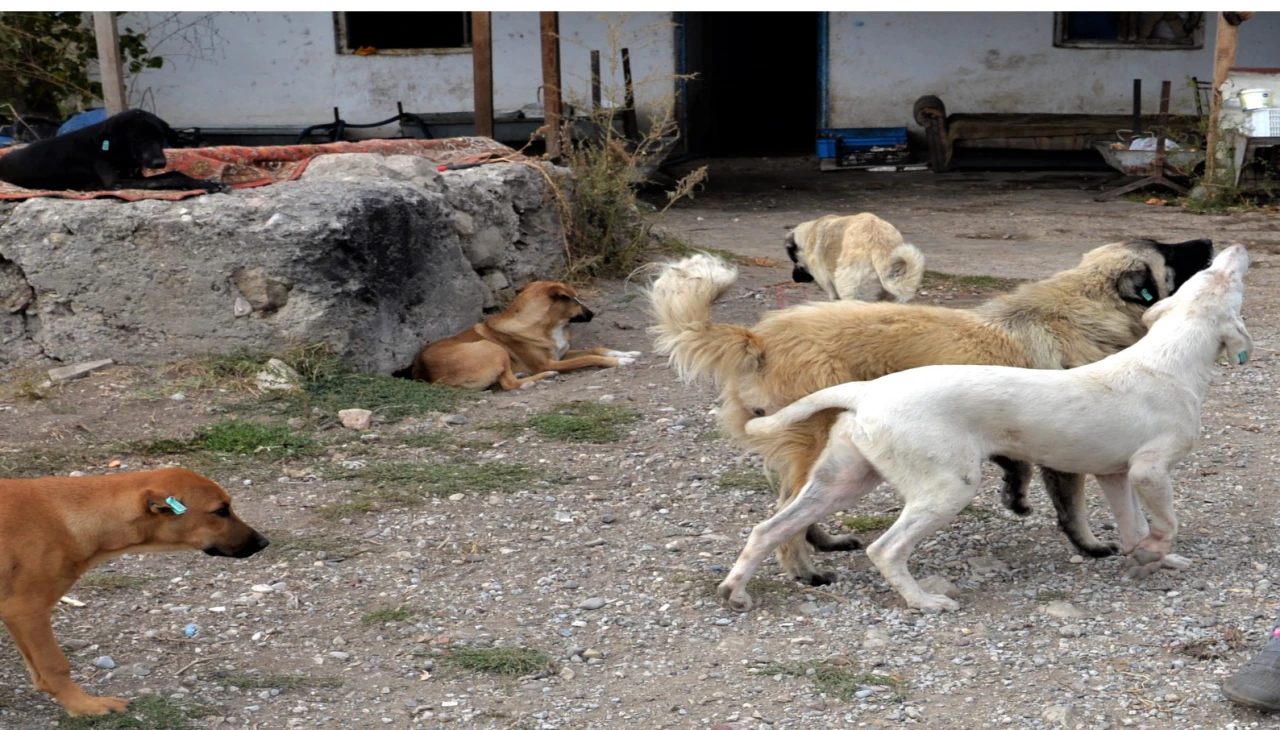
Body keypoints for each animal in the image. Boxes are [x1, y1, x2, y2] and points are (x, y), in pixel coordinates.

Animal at [0, 108, 226, 192]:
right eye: (136, 139)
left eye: (160, 137)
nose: (159, 163)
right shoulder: (115, 182)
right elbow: (170, 176)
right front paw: (204, 184)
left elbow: (170, 173)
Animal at [0, 466, 270, 712]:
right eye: (221, 511)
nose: (263, 543)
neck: (64, 517)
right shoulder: (28, 611)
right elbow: (54, 666)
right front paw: (85, 706)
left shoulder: (16, 615)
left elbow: (39, 672)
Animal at [409, 281, 640, 389]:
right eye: (575, 298)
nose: (592, 314)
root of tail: (425, 374)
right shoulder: (549, 362)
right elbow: (589, 357)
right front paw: (620, 362)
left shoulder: (561, 354)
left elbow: (596, 348)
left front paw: (626, 353)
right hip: (492, 348)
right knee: (509, 384)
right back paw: (540, 377)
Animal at [650, 238, 1208, 586]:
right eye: (1169, 252)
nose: (1206, 240)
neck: (1081, 306)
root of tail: (759, 338)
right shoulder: (1066, 446)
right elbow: (1072, 505)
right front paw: (1090, 545)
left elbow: (1018, 469)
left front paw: (1015, 496)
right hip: (818, 443)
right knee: (785, 514)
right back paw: (805, 570)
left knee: (792, 510)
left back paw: (822, 542)